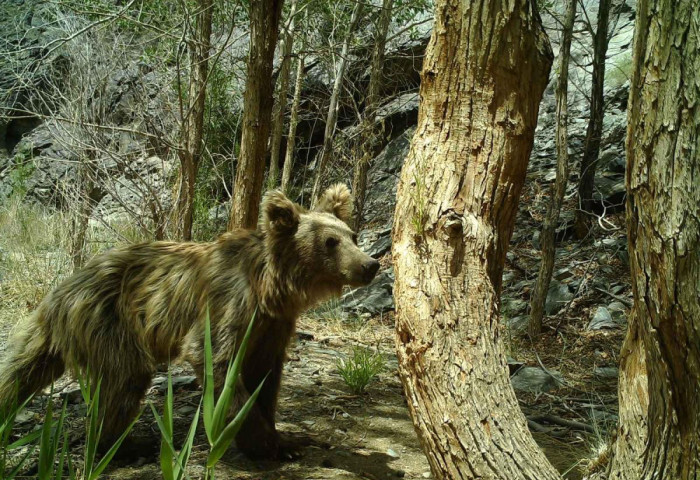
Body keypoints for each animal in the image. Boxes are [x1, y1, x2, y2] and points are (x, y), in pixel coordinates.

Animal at [0, 183, 378, 458]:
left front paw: (284, 437)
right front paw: (267, 444)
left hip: (59, 337)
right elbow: (217, 362)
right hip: (109, 320)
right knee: (124, 379)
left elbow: (265, 376)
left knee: (21, 372)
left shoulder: (274, 325)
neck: (271, 288)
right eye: (330, 242)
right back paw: (123, 444)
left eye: (352, 236)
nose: (370, 264)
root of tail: (57, 294)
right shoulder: (230, 304)